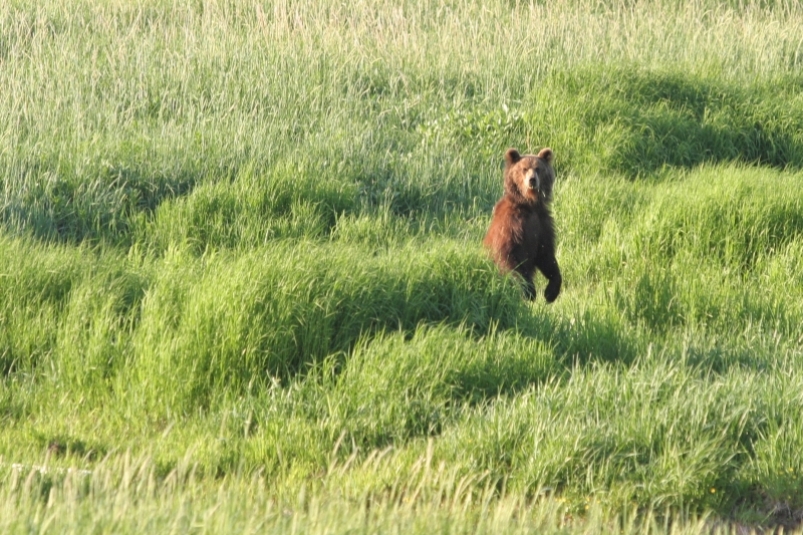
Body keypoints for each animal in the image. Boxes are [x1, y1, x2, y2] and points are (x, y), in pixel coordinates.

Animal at [486, 149, 564, 304]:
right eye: (524, 169)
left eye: (538, 169)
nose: (532, 180)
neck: (529, 204)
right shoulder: (511, 225)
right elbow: (507, 254)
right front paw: (529, 290)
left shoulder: (542, 224)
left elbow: (546, 255)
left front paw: (550, 292)